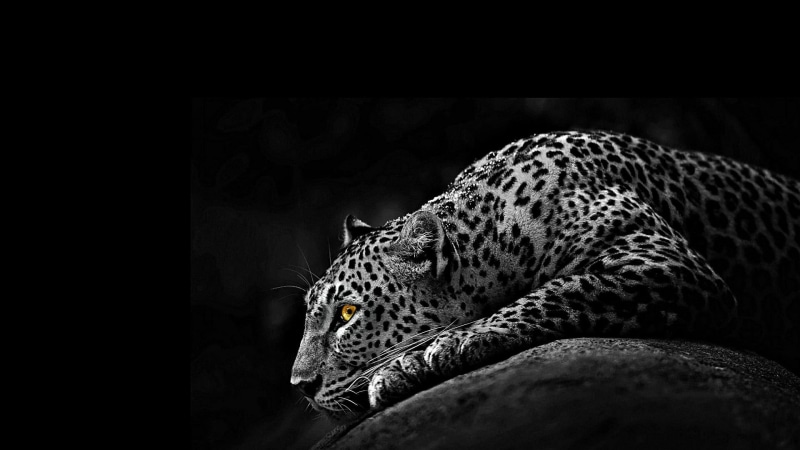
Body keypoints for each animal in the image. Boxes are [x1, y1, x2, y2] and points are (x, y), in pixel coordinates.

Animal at [290, 130, 800, 422]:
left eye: (347, 314)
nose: (300, 386)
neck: (497, 233)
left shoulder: (663, 261)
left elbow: (559, 290)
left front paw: (447, 346)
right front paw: (407, 367)